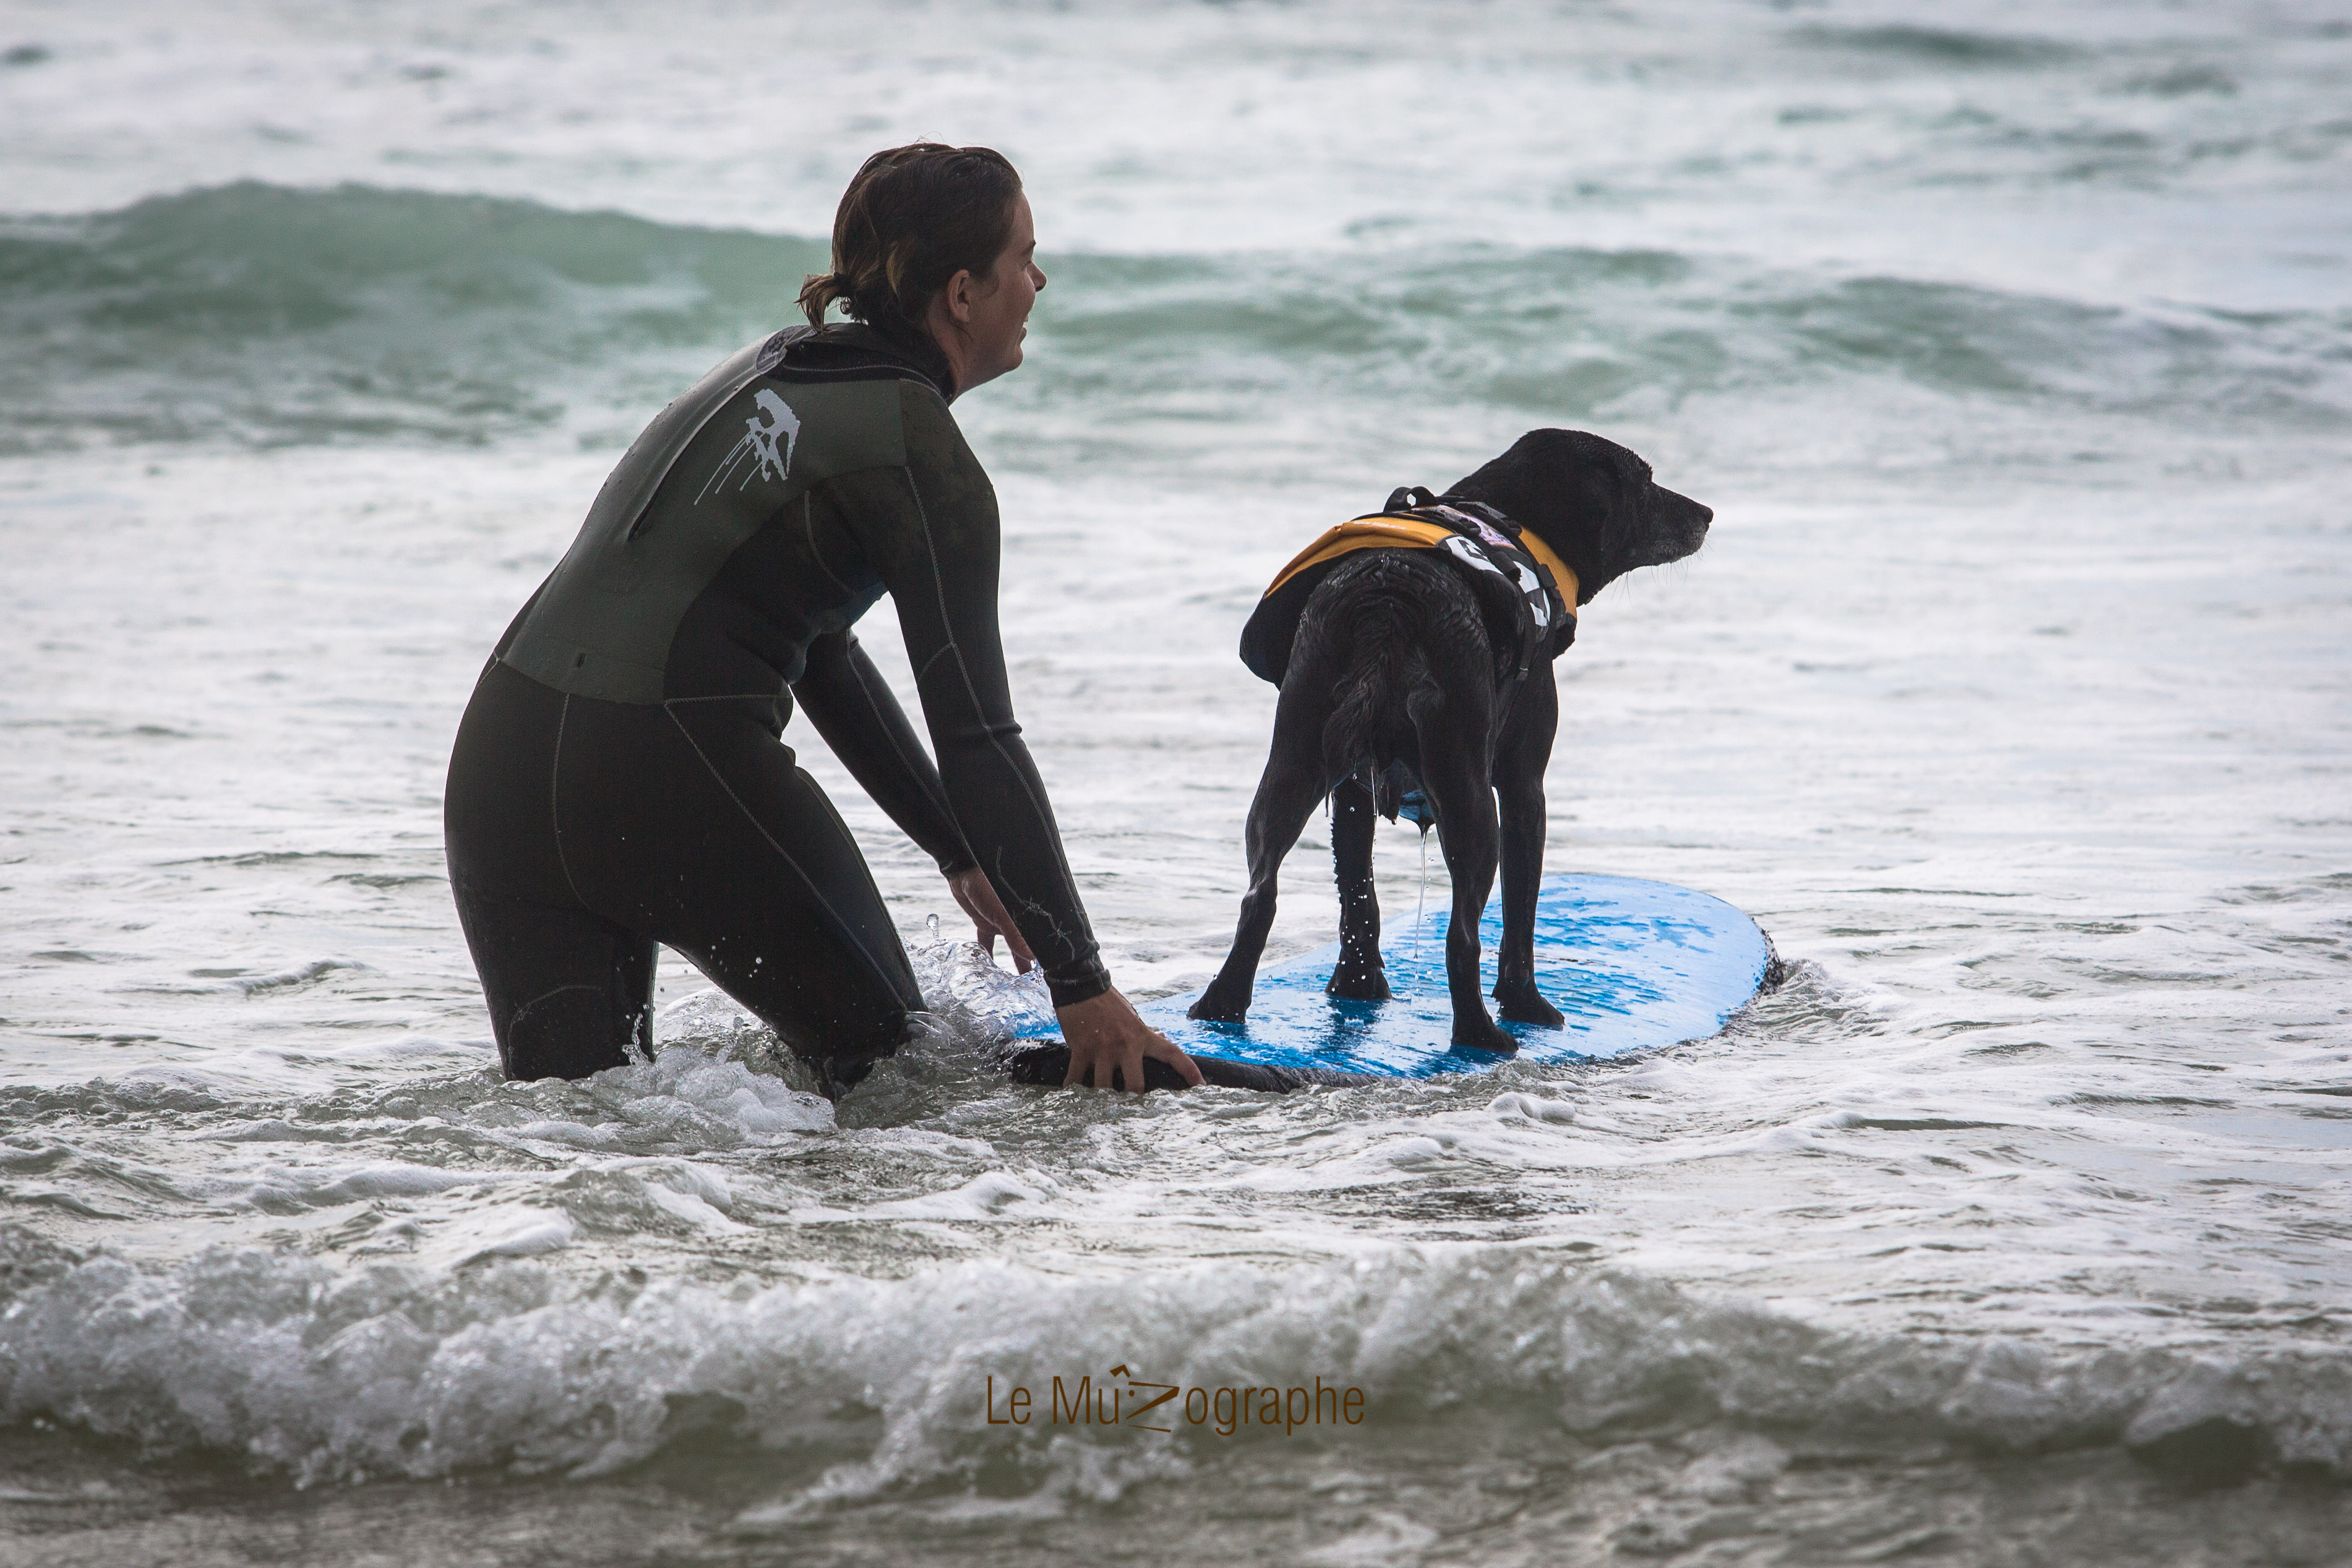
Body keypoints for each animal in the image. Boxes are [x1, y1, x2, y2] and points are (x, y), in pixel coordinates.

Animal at [1188, 429, 1711, 1053]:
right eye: (1646, 481)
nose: (1708, 513)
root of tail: (1388, 604)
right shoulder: (1523, 787)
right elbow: (1521, 910)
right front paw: (1528, 1006)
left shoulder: (1353, 787)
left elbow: (1358, 895)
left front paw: (1358, 989)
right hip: (1470, 799)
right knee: (1462, 934)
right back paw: (1484, 1034)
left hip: (1292, 763)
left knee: (1258, 897)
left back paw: (1221, 1007)